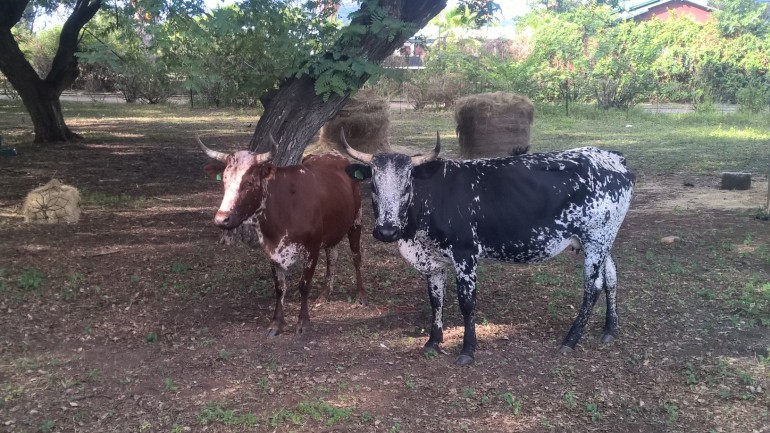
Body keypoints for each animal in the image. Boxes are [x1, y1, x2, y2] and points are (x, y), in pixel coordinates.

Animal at [198, 137, 366, 336]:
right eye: (224, 180)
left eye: (249, 182)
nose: (222, 219)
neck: (283, 207)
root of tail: (336, 155)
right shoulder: (271, 250)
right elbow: (279, 288)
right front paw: (276, 323)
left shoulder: (312, 249)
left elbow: (304, 285)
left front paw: (303, 322)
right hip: (333, 230)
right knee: (332, 256)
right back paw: (325, 293)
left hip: (356, 222)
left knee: (356, 257)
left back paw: (360, 295)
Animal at [344, 132, 632, 364]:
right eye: (373, 185)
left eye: (407, 185)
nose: (386, 231)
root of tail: (612, 156)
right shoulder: (434, 260)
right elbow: (436, 299)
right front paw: (433, 341)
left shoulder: (465, 254)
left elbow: (466, 302)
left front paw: (467, 350)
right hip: (602, 240)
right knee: (611, 276)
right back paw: (609, 330)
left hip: (596, 238)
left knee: (592, 288)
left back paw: (571, 340)